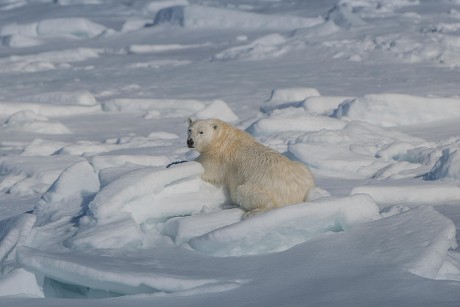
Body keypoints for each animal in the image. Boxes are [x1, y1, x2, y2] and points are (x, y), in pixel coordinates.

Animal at [187, 116, 316, 218]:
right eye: (189, 130)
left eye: (201, 132)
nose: (190, 142)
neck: (222, 137)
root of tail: (297, 194)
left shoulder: (219, 158)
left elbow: (208, 170)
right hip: (302, 169)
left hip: (259, 184)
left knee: (243, 193)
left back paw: (252, 212)